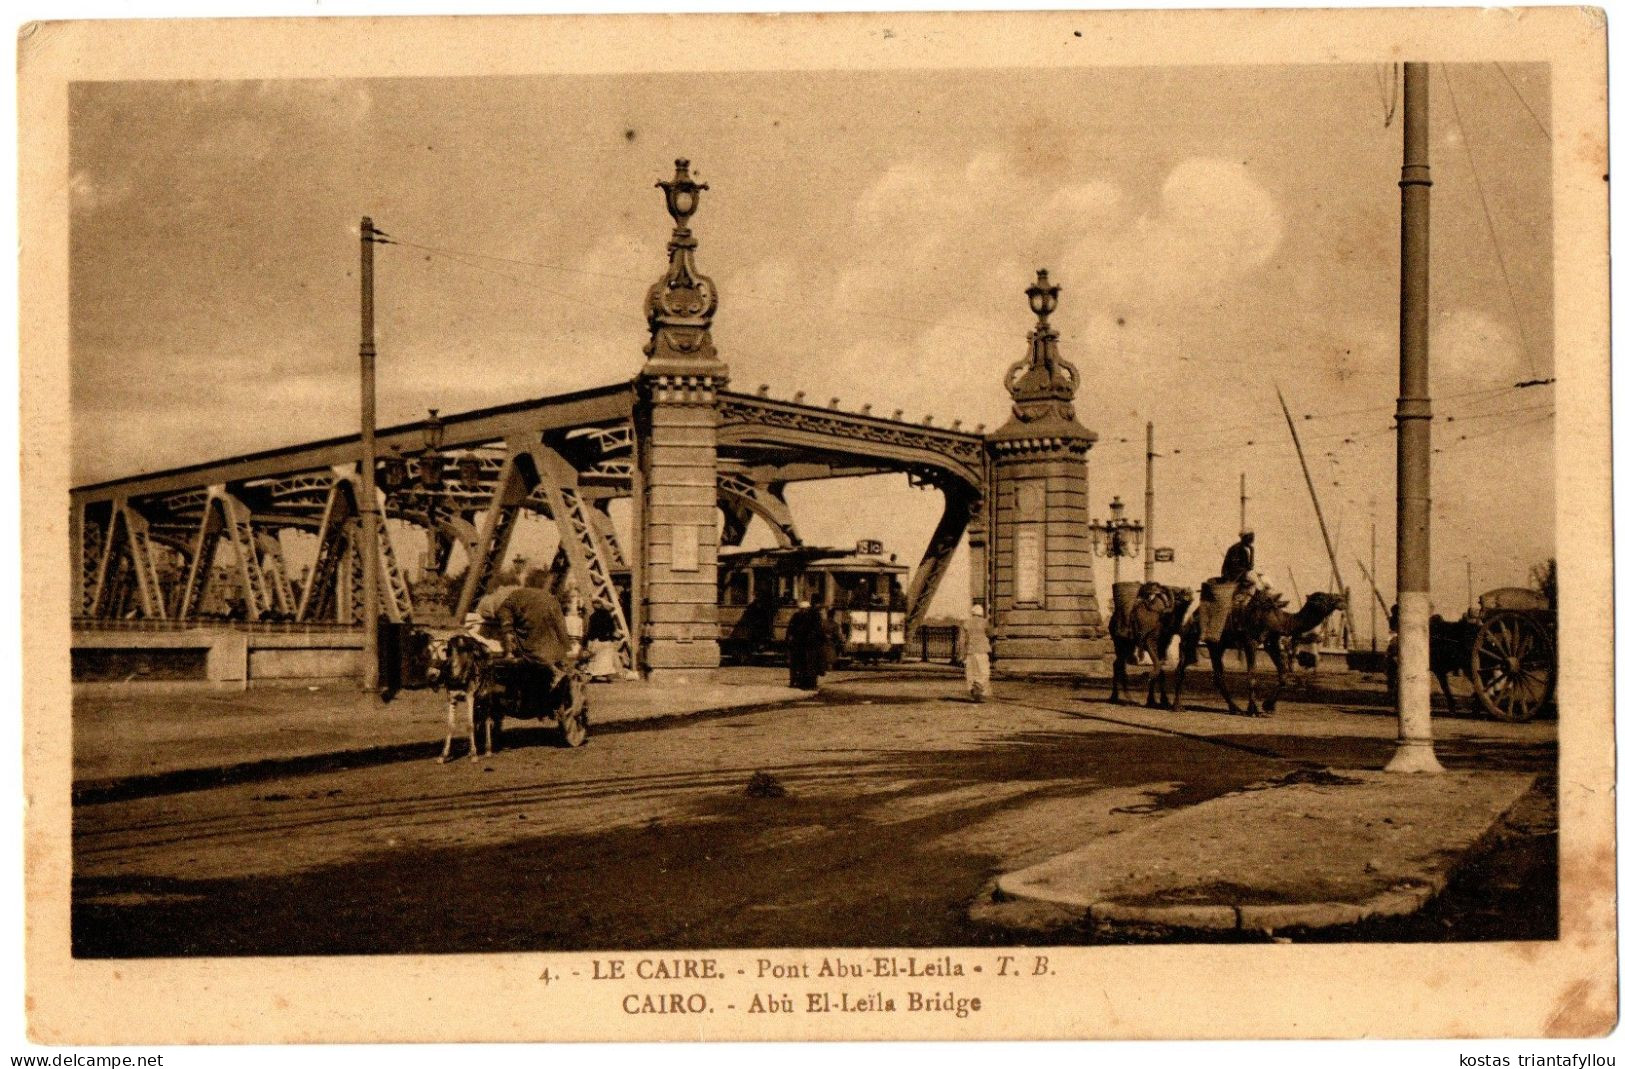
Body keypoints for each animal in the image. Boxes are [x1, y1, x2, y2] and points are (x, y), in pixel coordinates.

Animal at [1170, 588, 1345, 711]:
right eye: (1321, 597)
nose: (1340, 599)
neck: (1279, 619)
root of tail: (1194, 613)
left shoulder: (1272, 641)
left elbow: (1283, 675)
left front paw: (1268, 706)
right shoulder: (1250, 641)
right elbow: (1252, 675)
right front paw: (1253, 709)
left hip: (1217, 644)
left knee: (1216, 673)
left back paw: (1234, 708)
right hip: (1193, 636)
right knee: (1183, 667)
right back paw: (1177, 706)